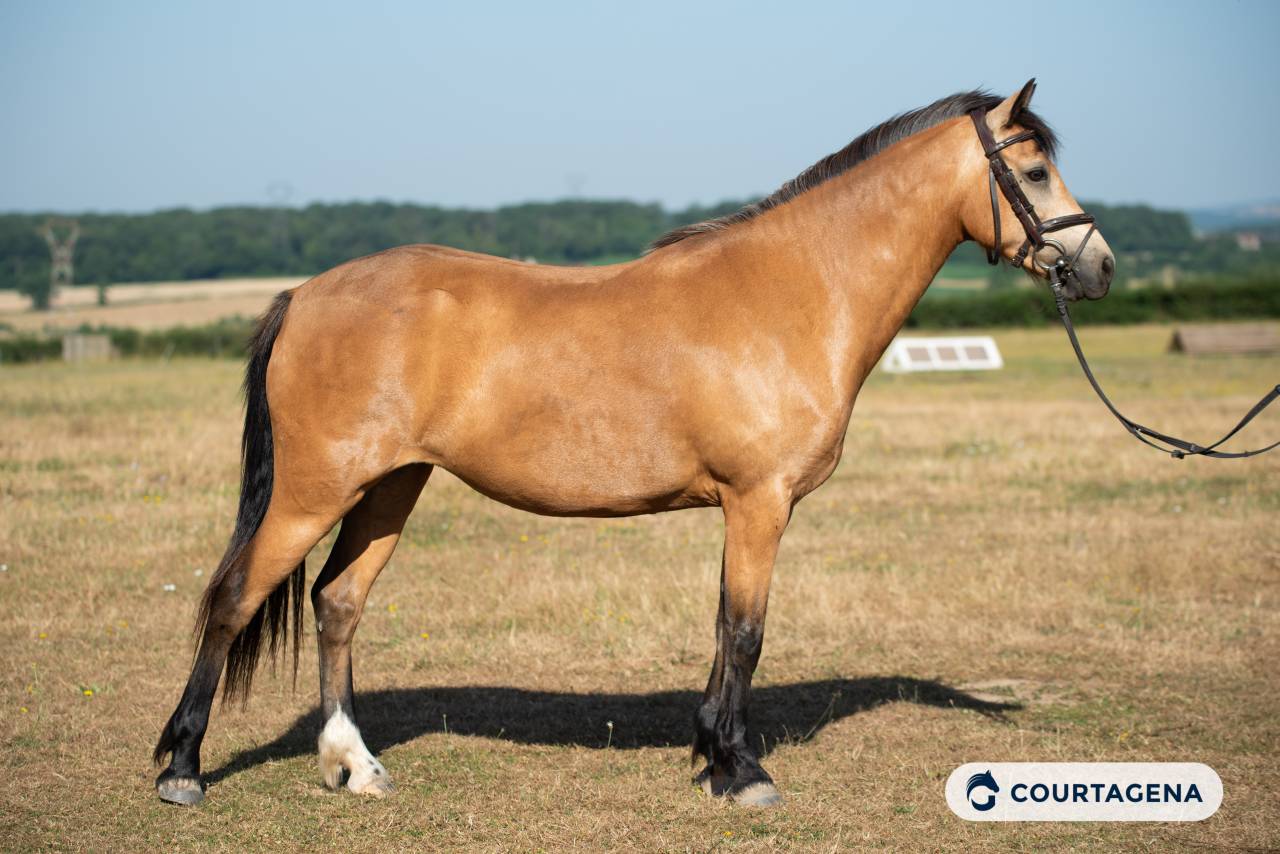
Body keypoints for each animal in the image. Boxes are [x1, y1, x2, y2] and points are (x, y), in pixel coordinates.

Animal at [153, 80, 1114, 807]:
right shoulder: (758, 502)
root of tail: (305, 295)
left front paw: (713, 755)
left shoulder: (744, 507)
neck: (794, 291)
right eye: (1034, 168)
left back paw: (352, 764)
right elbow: (745, 630)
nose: (1098, 266)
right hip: (315, 488)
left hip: (391, 485)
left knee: (338, 602)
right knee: (234, 597)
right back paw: (184, 768)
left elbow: (726, 626)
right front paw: (741, 772)